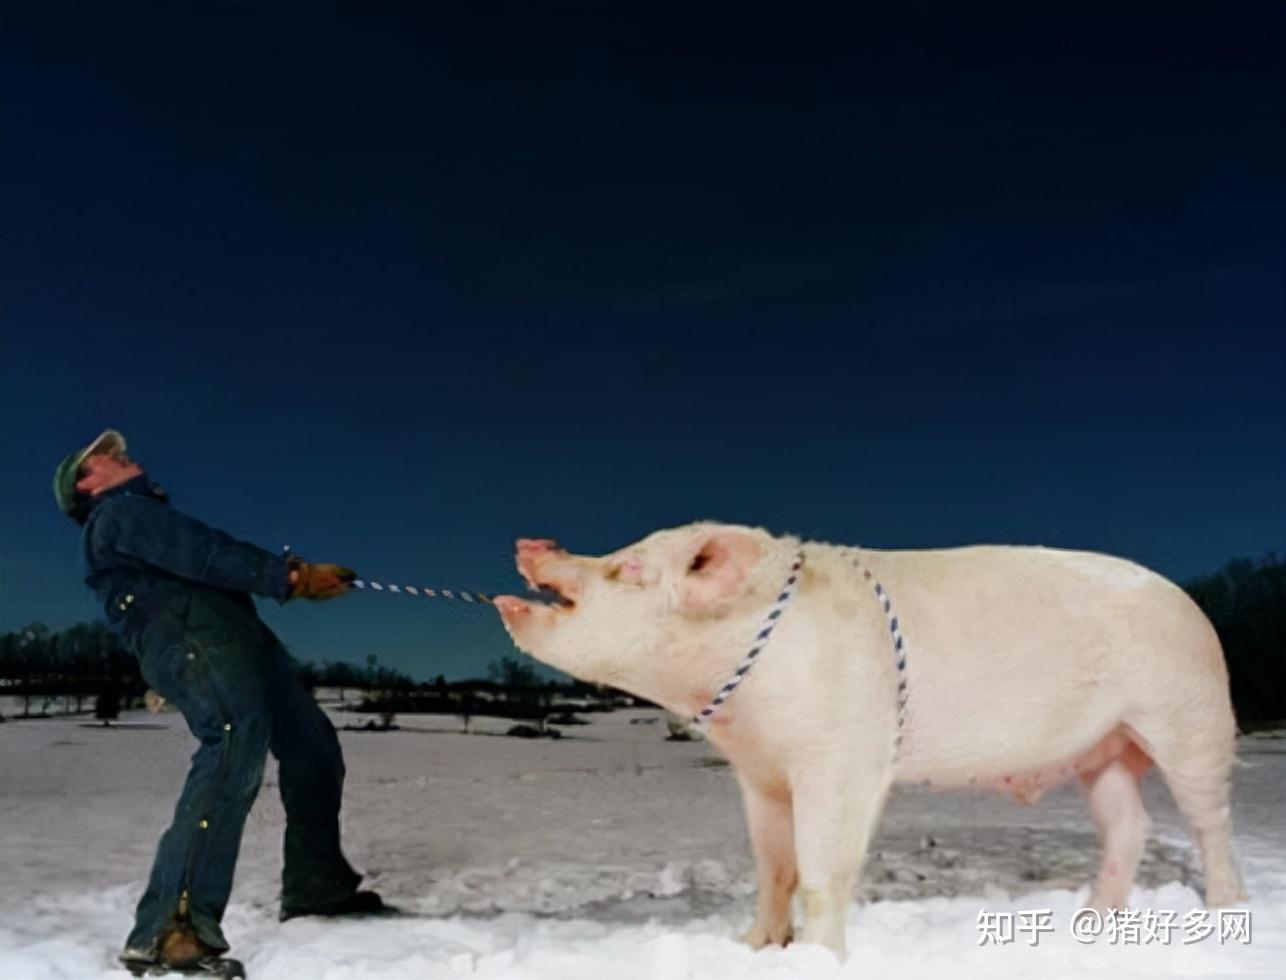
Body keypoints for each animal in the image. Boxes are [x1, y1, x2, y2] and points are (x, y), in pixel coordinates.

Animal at [488, 522, 1244, 956]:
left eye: (629, 569)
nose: (532, 544)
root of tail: (1193, 605)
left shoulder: (842, 757)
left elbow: (822, 871)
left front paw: (819, 959)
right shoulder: (759, 771)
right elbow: (773, 866)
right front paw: (754, 946)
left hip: (1191, 719)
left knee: (1209, 820)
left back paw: (1224, 911)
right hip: (1102, 751)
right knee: (1130, 825)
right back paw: (1092, 919)